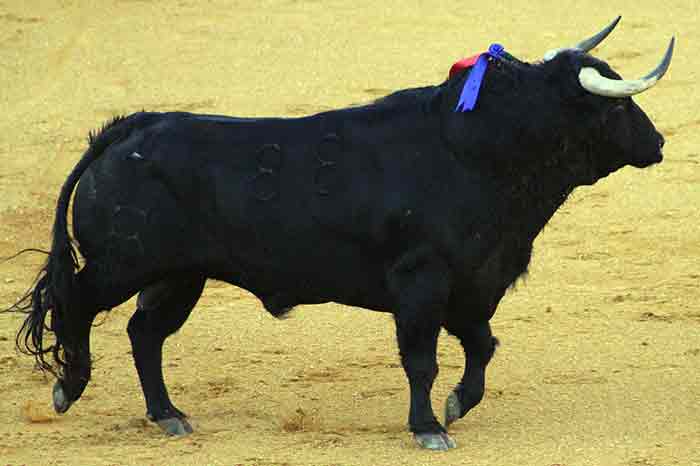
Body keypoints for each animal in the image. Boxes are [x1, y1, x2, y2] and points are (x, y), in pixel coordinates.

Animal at [6, 23, 672, 450]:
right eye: (617, 108)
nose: (660, 143)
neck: (480, 149)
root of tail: (126, 130)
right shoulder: (422, 282)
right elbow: (421, 358)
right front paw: (428, 428)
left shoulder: (470, 282)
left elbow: (482, 346)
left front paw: (457, 406)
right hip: (124, 264)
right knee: (77, 304)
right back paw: (69, 388)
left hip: (179, 277)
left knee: (144, 333)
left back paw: (168, 416)